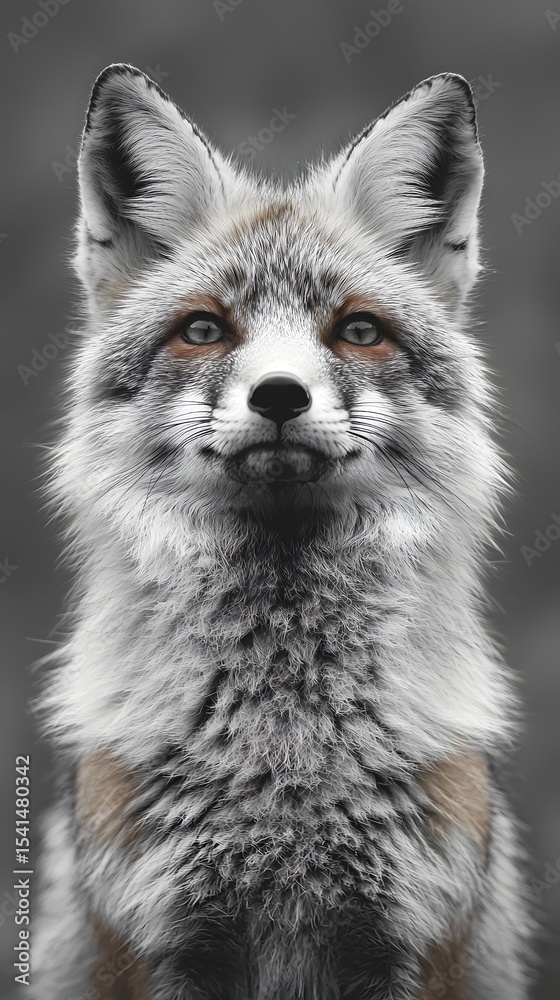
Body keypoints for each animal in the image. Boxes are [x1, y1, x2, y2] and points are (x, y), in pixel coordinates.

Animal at [31, 64, 531, 999]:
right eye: (203, 329)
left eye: (359, 330)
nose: (279, 397)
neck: (285, 758)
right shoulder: (160, 943)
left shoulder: (409, 942)